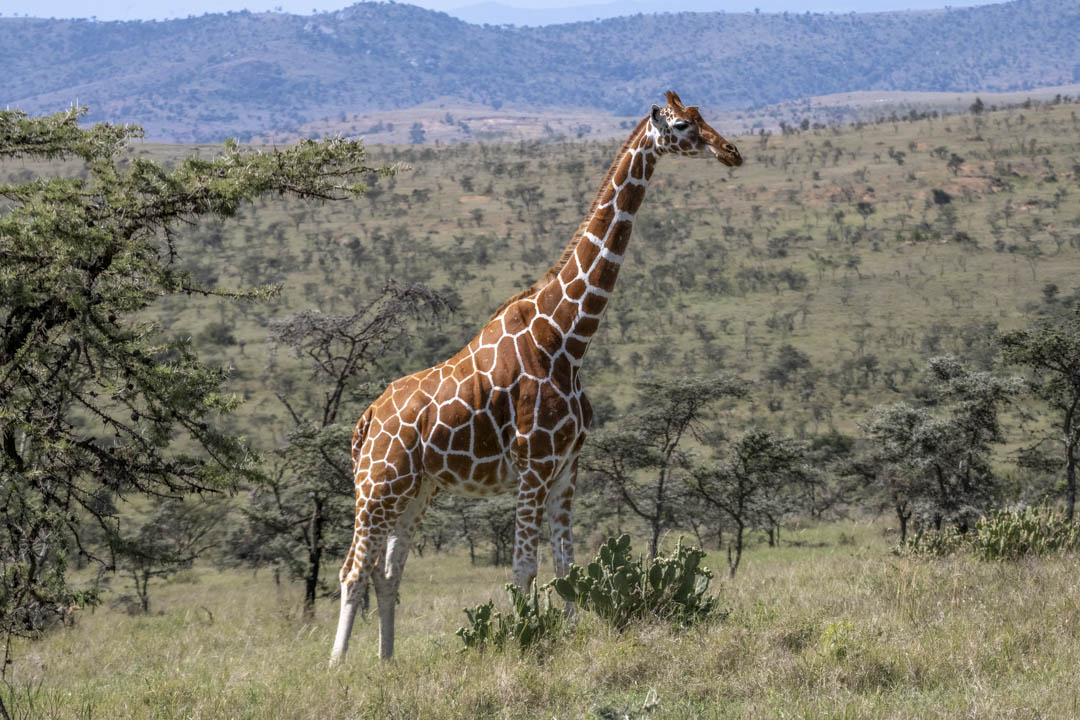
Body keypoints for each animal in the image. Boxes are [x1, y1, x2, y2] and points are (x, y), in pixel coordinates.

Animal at [329, 91, 742, 663]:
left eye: (704, 117)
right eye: (682, 126)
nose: (731, 152)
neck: (567, 338)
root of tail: (365, 421)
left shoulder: (567, 467)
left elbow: (567, 565)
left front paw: (569, 637)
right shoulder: (533, 465)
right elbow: (524, 568)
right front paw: (522, 642)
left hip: (416, 492)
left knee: (387, 573)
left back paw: (387, 662)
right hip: (375, 488)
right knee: (351, 571)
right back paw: (337, 666)